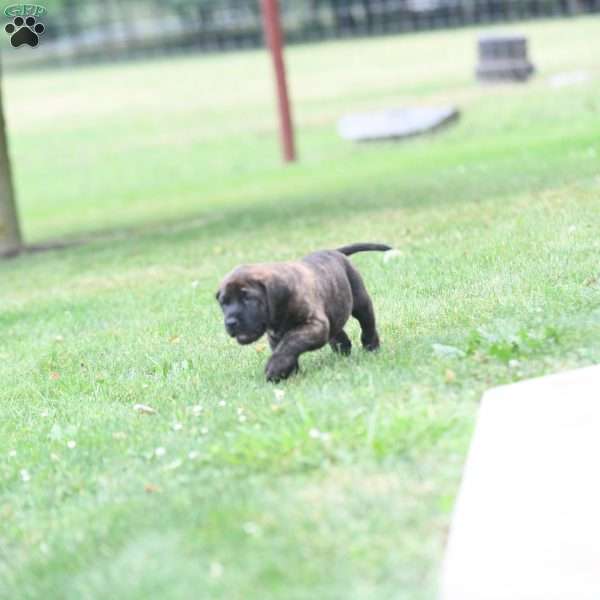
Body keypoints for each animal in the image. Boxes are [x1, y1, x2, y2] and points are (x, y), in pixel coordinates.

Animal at [214, 243, 390, 380]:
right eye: (224, 303)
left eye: (248, 298)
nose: (230, 322)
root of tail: (335, 251)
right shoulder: (275, 335)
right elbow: (284, 347)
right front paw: (288, 373)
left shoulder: (314, 325)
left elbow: (290, 342)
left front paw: (275, 368)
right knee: (336, 329)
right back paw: (343, 347)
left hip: (360, 300)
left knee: (367, 323)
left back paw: (371, 346)